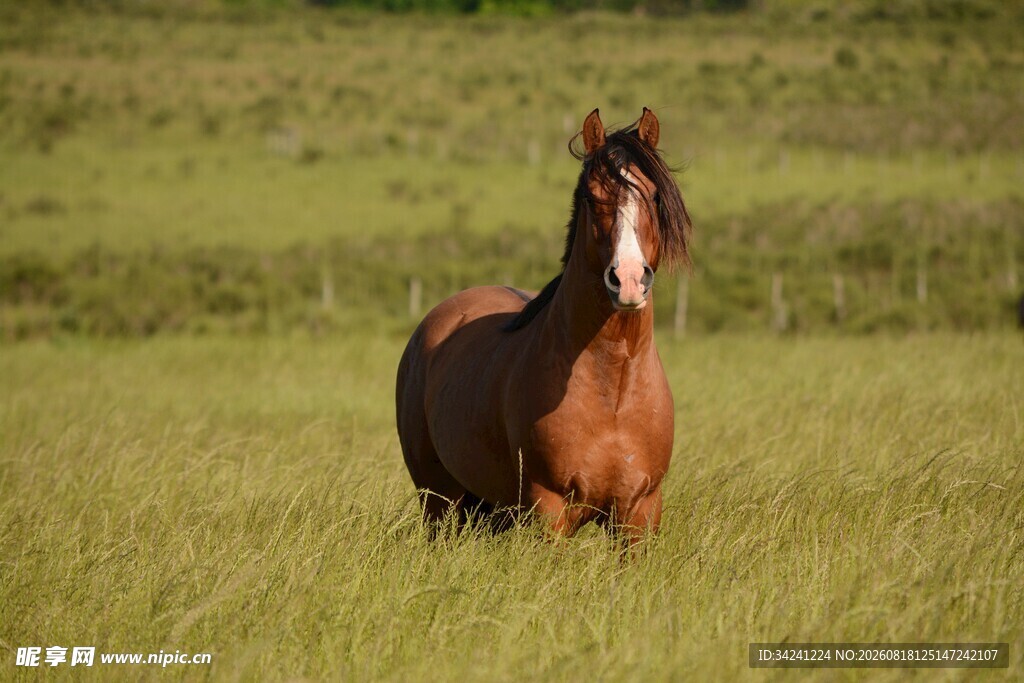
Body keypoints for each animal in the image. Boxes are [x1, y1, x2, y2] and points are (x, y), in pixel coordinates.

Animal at [396, 107, 692, 545]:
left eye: (654, 196)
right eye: (590, 197)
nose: (628, 279)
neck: (613, 394)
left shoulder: (640, 514)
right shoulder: (549, 510)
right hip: (439, 502)